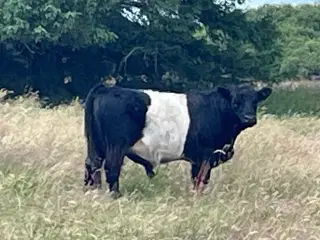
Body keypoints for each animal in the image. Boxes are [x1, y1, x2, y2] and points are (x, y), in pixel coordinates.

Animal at [83, 82, 272, 197]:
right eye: (235, 101)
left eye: (255, 101)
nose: (249, 118)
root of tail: (106, 88)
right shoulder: (205, 155)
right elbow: (200, 179)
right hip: (116, 145)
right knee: (111, 168)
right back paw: (116, 196)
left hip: (96, 144)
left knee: (92, 165)